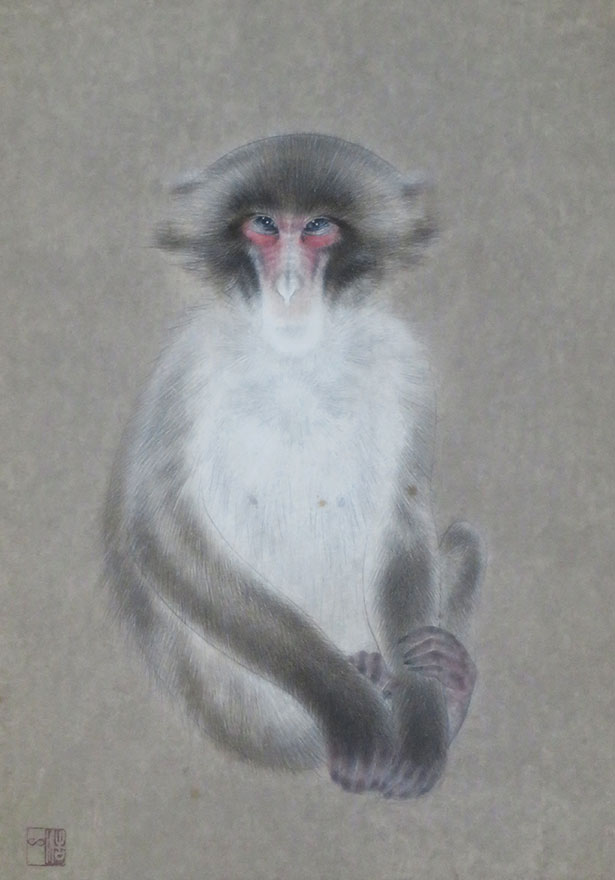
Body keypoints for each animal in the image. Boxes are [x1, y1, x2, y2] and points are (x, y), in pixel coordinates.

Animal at [103, 133, 483, 799]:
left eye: (316, 228)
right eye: (262, 225)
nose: (285, 286)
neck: (299, 359)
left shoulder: (407, 366)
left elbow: (401, 526)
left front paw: (421, 728)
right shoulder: (187, 364)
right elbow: (162, 530)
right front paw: (351, 708)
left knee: (461, 541)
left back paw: (435, 681)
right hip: (229, 699)